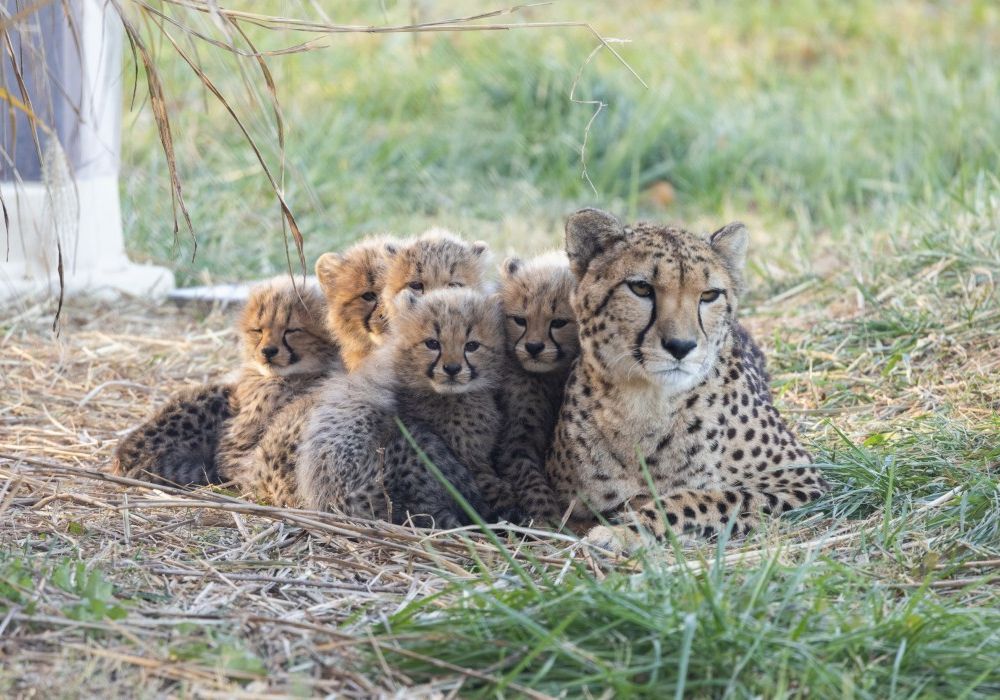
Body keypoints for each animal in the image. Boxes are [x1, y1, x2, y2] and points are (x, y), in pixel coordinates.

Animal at [493, 251, 579, 523]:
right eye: (520, 320)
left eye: (559, 322)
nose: (533, 347)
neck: (551, 377)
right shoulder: (517, 440)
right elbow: (531, 481)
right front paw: (546, 519)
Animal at [545, 208, 829, 553]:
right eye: (641, 288)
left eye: (709, 295)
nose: (681, 346)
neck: (646, 400)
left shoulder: (798, 480)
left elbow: (705, 497)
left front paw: (628, 530)